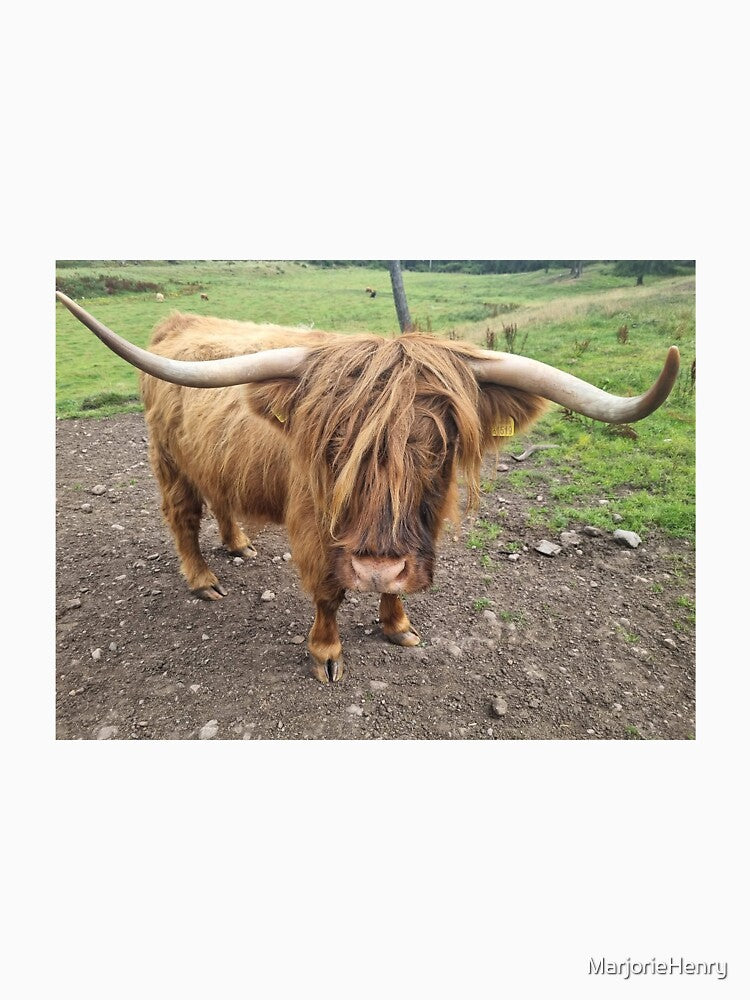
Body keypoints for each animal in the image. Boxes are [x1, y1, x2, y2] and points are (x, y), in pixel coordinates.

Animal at [55, 291, 680, 683]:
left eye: (439, 446)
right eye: (332, 445)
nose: (376, 564)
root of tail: (178, 322)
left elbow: (400, 587)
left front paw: (398, 625)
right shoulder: (315, 530)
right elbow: (328, 594)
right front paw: (327, 655)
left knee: (221, 497)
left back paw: (239, 544)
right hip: (169, 458)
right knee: (183, 515)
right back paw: (204, 580)